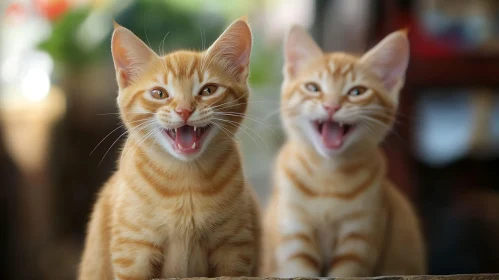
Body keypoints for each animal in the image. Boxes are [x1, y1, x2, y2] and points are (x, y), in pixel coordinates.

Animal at [79, 18, 262, 278]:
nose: (184, 110)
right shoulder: (132, 251)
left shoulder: (235, 248)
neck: (186, 184)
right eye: (159, 93)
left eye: (208, 90)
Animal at [260, 26, 428, 278]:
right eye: (313, 88)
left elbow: (346, 270)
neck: (328, 176)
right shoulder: (293, 231)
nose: (331, 106)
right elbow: (299, 270)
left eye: (357, 91)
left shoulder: (360, 236)